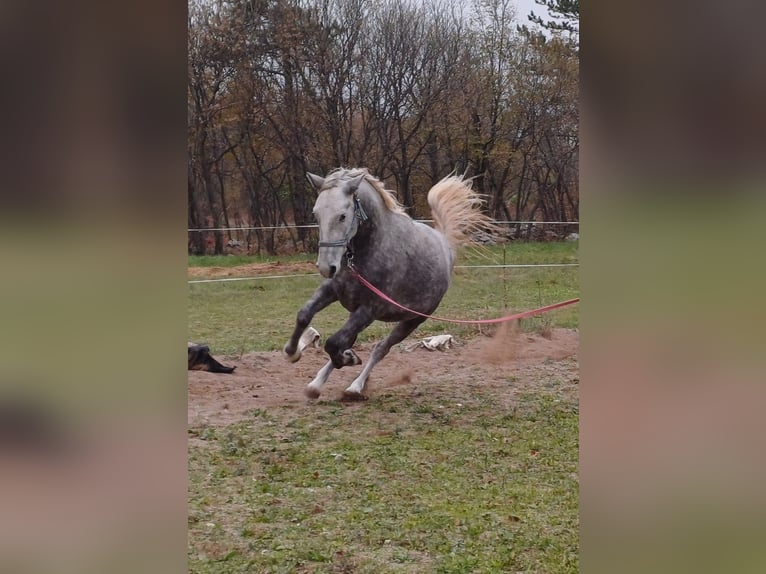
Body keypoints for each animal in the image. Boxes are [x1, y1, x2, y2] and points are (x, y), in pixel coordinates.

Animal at [284, 168, 492, 400]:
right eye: (316, 214)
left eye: (342, 216)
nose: (326, 267)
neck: (369, 251)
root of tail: (444, 243)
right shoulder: (332, 291)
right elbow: (304, 315)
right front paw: (292, 353)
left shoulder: (370, 308)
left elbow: (334, 343)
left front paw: (350, 359)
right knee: (348, 340)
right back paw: (318, 383)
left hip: (411, 321)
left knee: (380, 349)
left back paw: (355, 386)